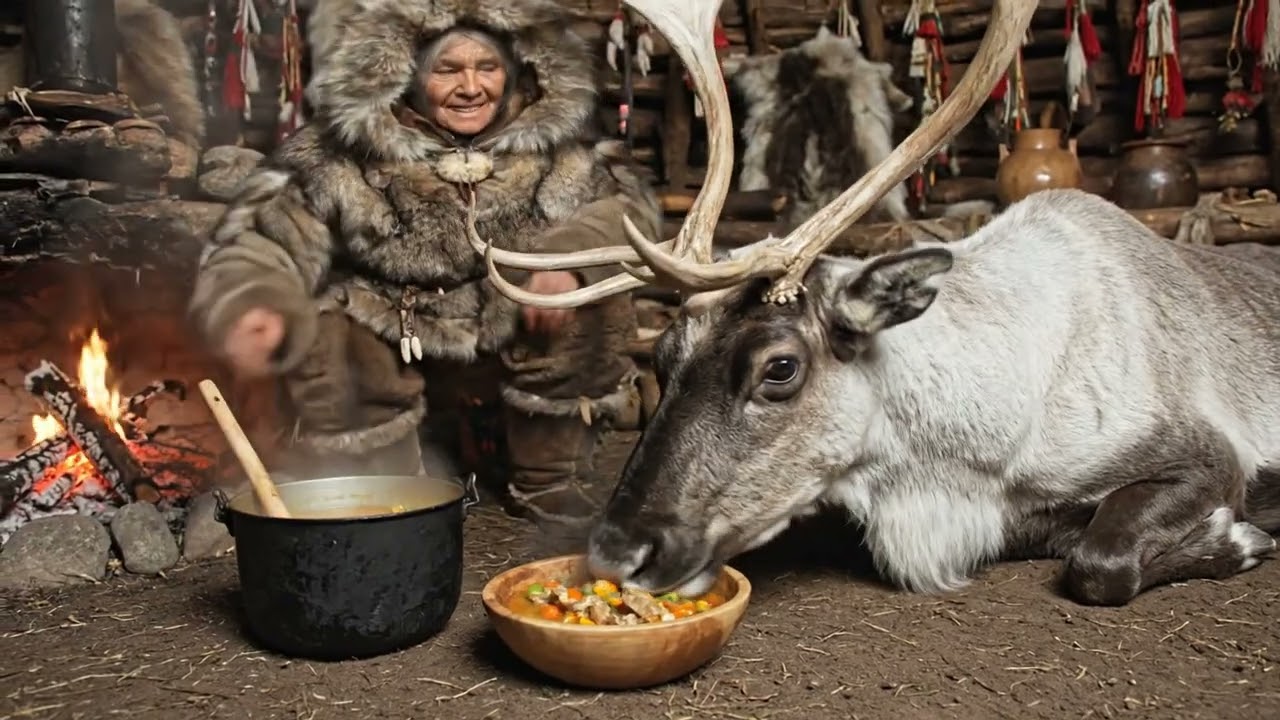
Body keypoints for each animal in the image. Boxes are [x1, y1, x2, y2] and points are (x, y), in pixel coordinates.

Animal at [464, 0, 1280, 607]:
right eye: (663, 358)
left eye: (780, 368)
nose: (613, 551)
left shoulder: (1205, 448)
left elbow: (1100, 561)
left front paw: (1237, 540)